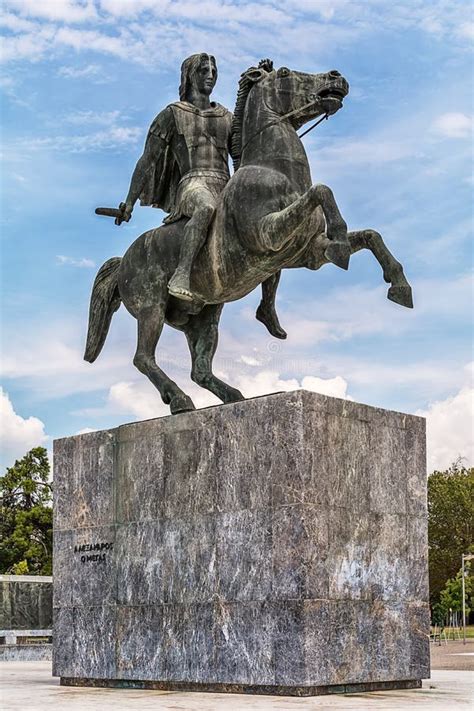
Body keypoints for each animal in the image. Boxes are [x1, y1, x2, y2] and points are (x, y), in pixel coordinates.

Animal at [87, 63, 412, 418]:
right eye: (284, 72)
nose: (336, 76)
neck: (274, 171)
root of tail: (123, 262)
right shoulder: (267, 233)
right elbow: (322, 191)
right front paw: (342, 244)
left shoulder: (307, 254)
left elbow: (370, 235)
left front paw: (399, 286)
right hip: (152, 307)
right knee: (144, 358)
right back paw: (180, 399)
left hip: (204, 317)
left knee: (200, 369)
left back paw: (233, 395)